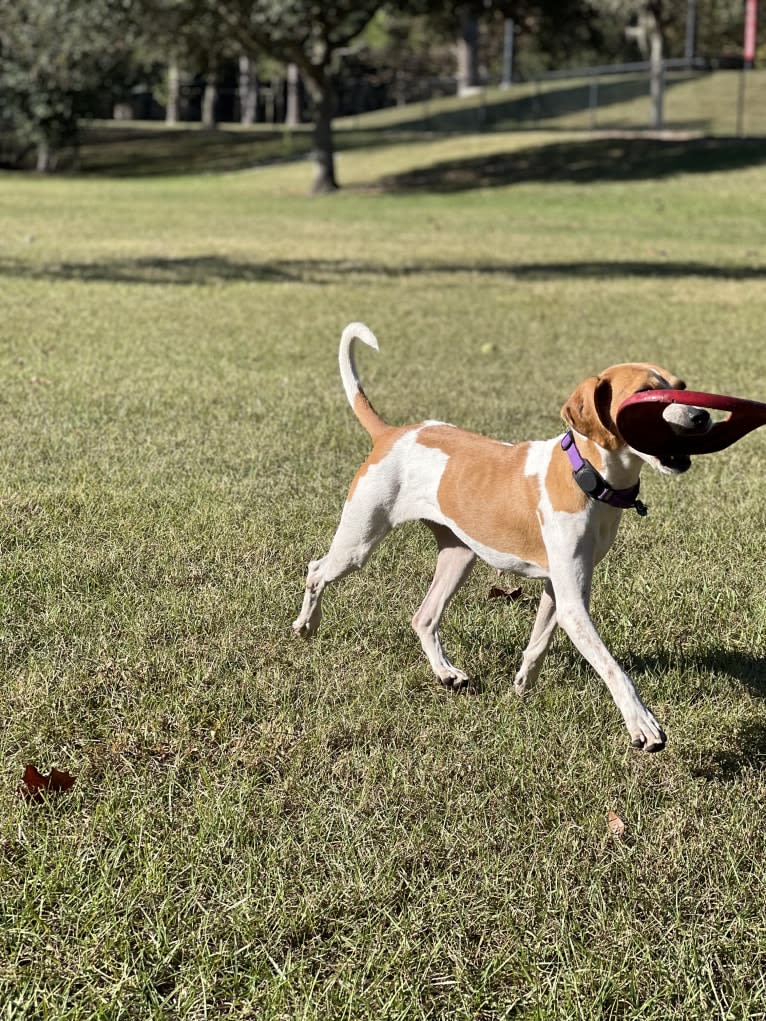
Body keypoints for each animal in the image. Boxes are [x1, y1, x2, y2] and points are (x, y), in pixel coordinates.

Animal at [290, 322, 710, 755]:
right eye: (645, 394)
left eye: (682, 387)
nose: (702, 416)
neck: (587, 474)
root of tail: (392, 433)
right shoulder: (573, 603)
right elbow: (613, 668)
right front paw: (642, 723)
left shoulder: (560, 588)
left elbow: (538, 642)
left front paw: (522, 686)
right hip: (358, 542)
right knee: (316, 569)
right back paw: (306, 624)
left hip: (459, 556)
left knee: (424, 617)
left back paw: (446, 673)